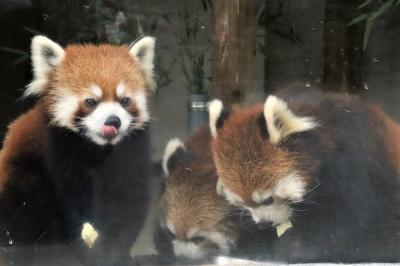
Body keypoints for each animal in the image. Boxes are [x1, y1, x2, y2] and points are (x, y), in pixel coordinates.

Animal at [0, 35, 155, 266]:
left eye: (125, 100)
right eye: (91, 101)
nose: (113, 121)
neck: (97, 149)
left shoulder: (131, 153)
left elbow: (128, 204)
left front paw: (113, 252)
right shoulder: (59, 152)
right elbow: (70, 204)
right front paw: (83, 250)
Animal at [208, 86, 400, 262]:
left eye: (268, 199)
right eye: (241, 202)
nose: (264, 224)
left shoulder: (350, 160)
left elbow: (350, 215)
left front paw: (295, 248)